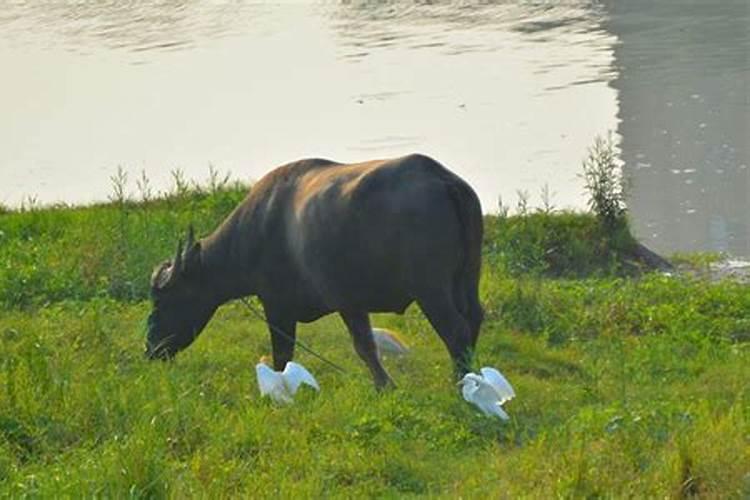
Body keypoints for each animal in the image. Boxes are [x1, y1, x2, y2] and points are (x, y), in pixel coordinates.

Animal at [148, 152, 488, 386]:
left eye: (163, 300)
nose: (151, 347)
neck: (258, 228)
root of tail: (442, 179)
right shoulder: (349, 303)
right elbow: (365, 347)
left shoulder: (281, 306)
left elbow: (288, 354)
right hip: (467, 278)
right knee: (474, 318)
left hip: (431, 289)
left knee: (455, 329)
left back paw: (460, 384)